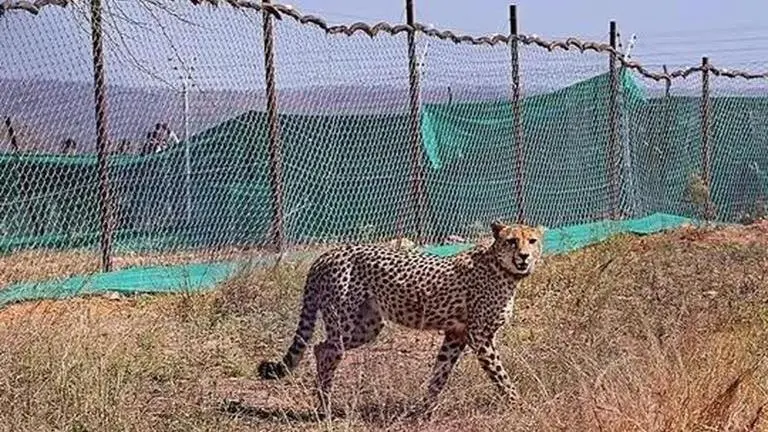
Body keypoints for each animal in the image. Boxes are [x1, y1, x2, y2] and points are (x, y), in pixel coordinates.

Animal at [257, 221, 545, 418]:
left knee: (319, 347)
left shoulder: (456, 334)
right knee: (327, 350)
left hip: (368, 326)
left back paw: (323, 403)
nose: (524, 256)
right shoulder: (480, 337)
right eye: (511, 241)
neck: (503, 269)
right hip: (344, 321)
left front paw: (425, 410)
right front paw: (520, 405)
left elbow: (439, 374)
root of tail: (328, 254)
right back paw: (325, 407)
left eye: (531, 241)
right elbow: (501, 375)